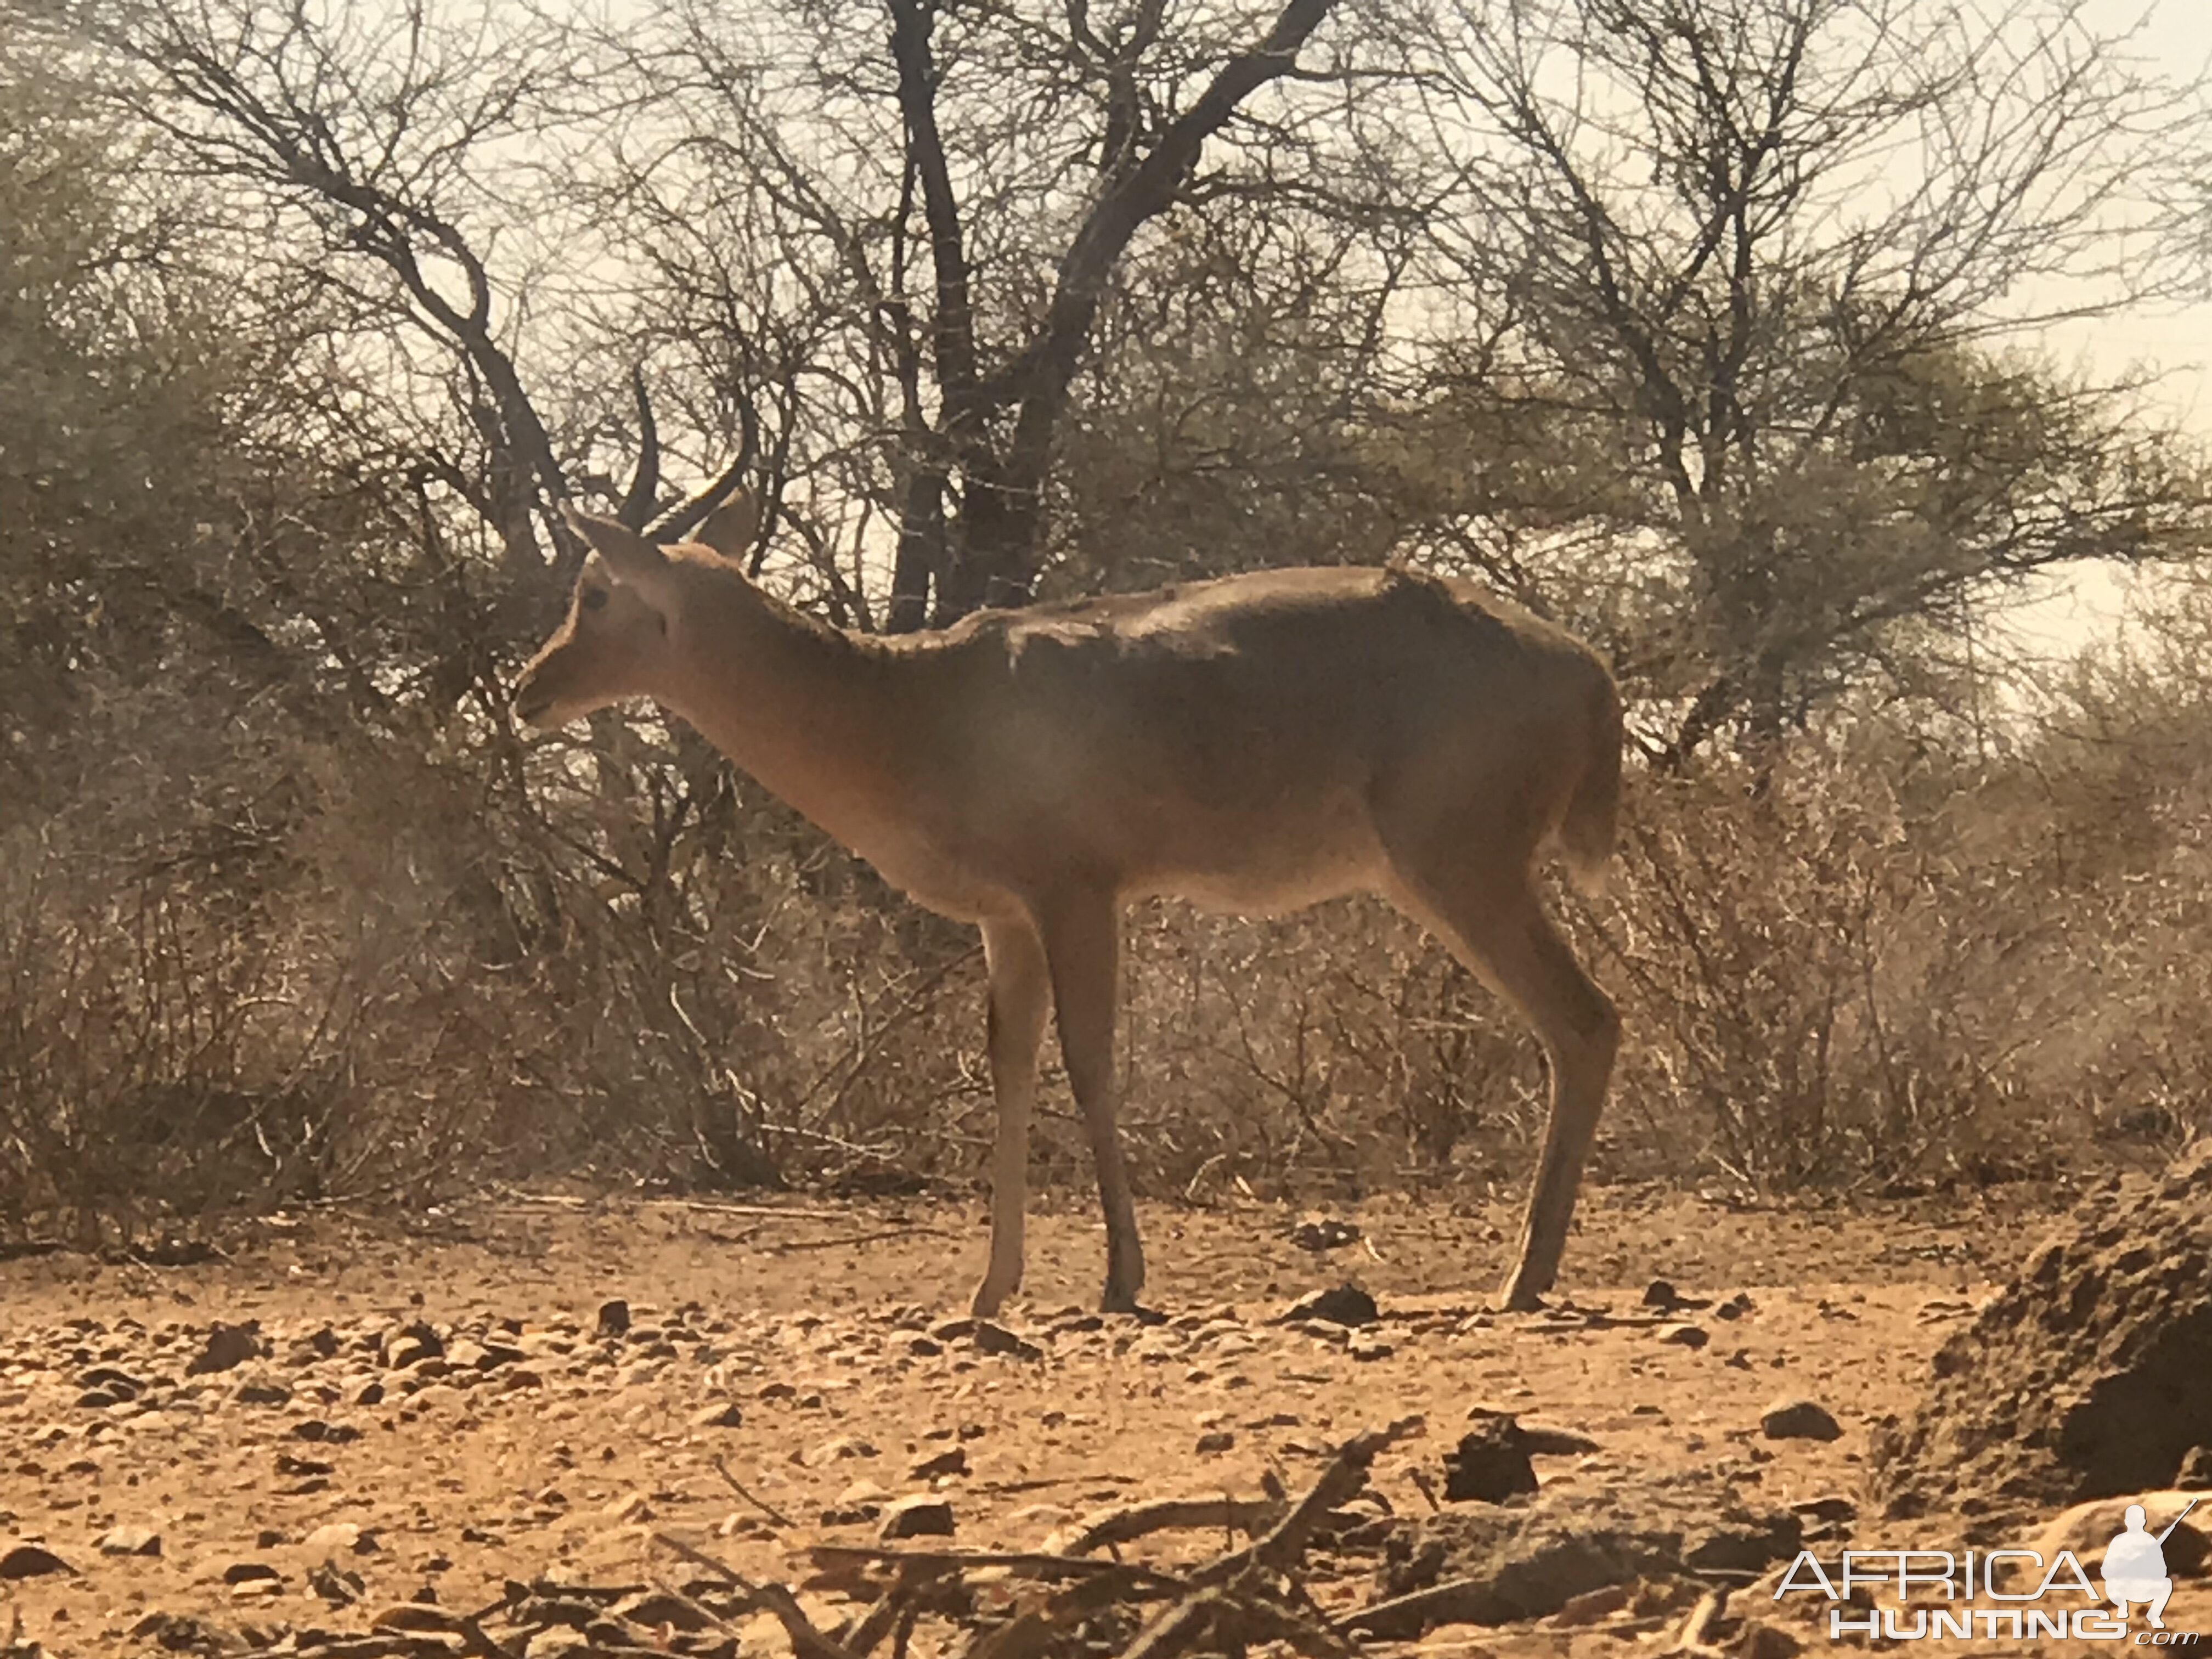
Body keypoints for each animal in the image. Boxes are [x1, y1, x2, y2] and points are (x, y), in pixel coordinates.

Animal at [517, 487, 1628, 1318]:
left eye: (595, 589)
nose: (531, 689)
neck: (914, 708)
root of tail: (1588, 669)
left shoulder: (1077, 895)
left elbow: (1091, 1064)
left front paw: (1119, 1277)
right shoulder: (1005, 918)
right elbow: (1009, 1068)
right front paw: (989, 1287)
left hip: (1463, 870)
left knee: (1586, 1021)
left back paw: (1521, 1276)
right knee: (1582, 1025)